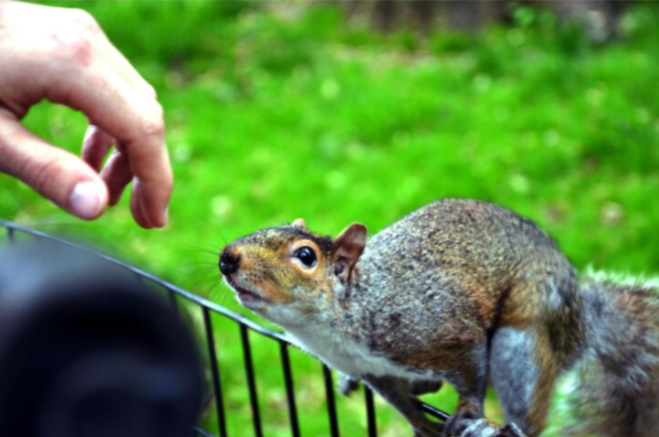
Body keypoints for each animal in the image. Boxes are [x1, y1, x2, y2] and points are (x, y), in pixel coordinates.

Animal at [218, 198, 659, 437]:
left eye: (306, 256)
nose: (226, 258)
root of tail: (582, 318)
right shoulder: (374, 371)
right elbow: (397, 400)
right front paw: (419, 423)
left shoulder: (442, 327)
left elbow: (470, 372)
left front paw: (465, 412)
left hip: (525, 333)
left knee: (525, 398)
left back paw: (505, 425)